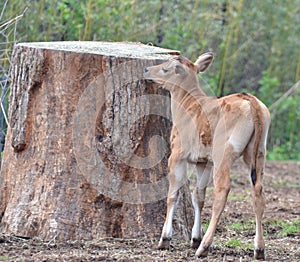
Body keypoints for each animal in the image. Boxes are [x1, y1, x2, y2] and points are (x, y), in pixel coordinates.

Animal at [144, 53, 270, 260]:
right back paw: (259, 249)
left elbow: (173, 194)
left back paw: (204, 246)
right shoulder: (203, 162)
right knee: (258, 191)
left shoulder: (177, 155)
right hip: (258, 152)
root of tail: (252, 103)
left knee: (222, 190)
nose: (146, 69)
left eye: (165, 68)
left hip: (223, 153)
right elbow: (198, 195)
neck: (187, 103)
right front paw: (194, 237)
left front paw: (165, 238)